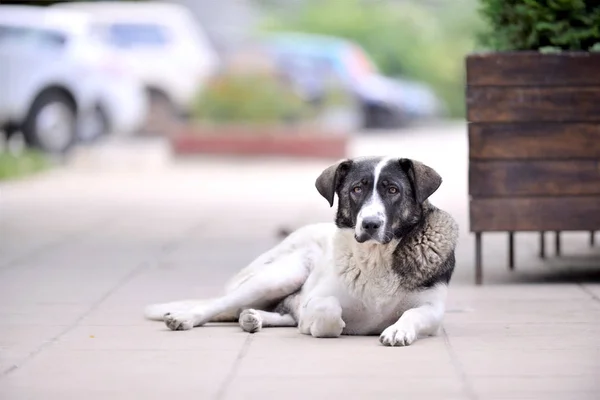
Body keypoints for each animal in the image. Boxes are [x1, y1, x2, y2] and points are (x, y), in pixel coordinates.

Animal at [145, 156, 460, 346]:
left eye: (393, 190)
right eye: (357, 189)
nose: (370, 224)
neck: (375, 257)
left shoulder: (432, 311)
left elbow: (413, 315)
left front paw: (398, 329)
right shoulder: (318, 300)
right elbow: (327, 310)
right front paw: (326, 326)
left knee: (275, 312)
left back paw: (253, 317)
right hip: (280, 276)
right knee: (219, 304)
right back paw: (187, 317)